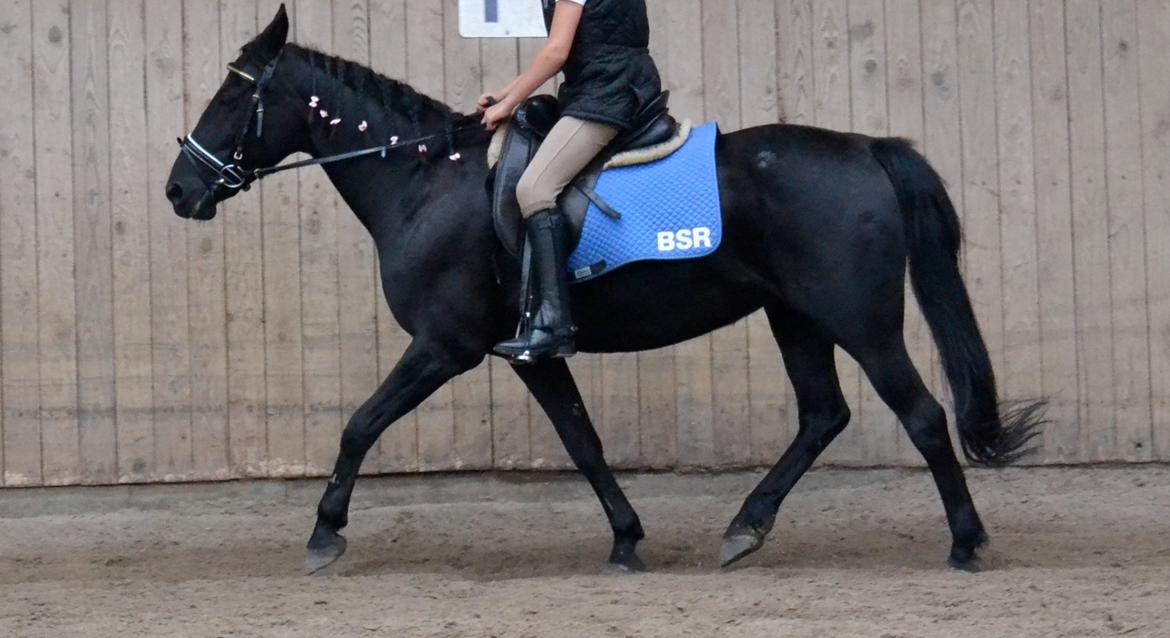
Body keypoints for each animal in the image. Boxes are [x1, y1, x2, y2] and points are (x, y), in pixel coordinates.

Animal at [164, 6, 1043, 571]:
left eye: (233, 94)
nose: (180, 190)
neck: (425, 180)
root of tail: (868, 148)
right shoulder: (532, 353)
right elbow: (582, 441)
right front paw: (625, 539)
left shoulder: (444, 346)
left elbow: (359, 425)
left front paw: (324, 533)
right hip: (795, 317)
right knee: (823, 416)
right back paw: (745, 529)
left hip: (861, 322)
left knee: (922, 416)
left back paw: (965, 543)